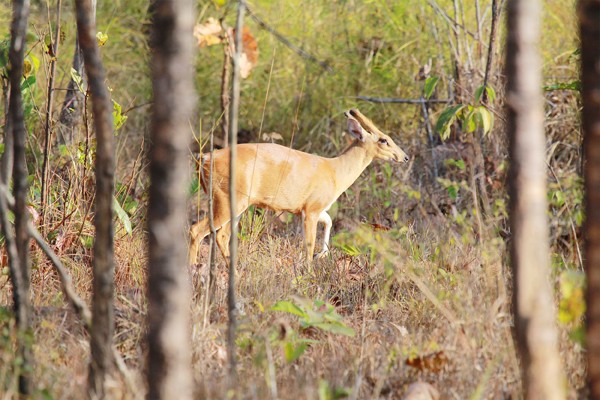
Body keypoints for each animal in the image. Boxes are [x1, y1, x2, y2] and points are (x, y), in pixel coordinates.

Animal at [190, 108, 410, 266]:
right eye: (384, 140)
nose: (405, 157)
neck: (335, 171)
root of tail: (204, 158)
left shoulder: (311, 208)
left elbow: (329, 222)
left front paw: (322, 255)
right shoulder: (312, 208)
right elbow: (309, 243)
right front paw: (309, 271)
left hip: (234, 203)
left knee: (221, 235)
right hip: (229, 199)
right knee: (198, 230)